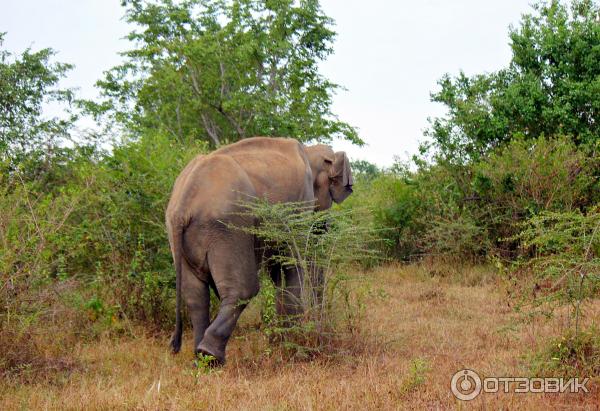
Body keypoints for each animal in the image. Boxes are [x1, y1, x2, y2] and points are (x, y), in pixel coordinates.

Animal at [165, 137, 352, 366]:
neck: (310, 151)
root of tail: (182, 204)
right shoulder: (300, 203)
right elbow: (291, 264)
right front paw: (292, 346)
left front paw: (280, 342)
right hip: (228, 227)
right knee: (243, 289)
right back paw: (210, 356)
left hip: (183, 236)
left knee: (195, 296)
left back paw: (200, 358)